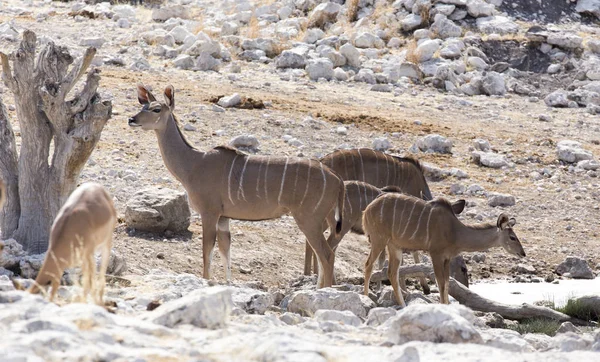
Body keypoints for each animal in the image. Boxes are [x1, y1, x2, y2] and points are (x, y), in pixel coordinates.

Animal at [130, 85, 346, 288]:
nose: (131, 119)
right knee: (325, 254)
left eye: (156, 109)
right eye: (142, 106)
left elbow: (207, 251)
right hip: (318, 220)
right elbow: (225, 251)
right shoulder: (224, 218)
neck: (194, 163)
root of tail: (337, 179)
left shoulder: (210, 213)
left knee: (326, 254)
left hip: (308, 220)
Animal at [360, 194, 524, 306]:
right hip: (379, 240)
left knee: (392, 272)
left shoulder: (446, 258)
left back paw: (403, 305)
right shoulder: (435, 253)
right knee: (368, 265)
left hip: (395, 246)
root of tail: (366, 211)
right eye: (512, 237)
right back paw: (366, 297)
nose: (522, 253)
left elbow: (446, 282)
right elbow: (440, 282)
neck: (455, 231)